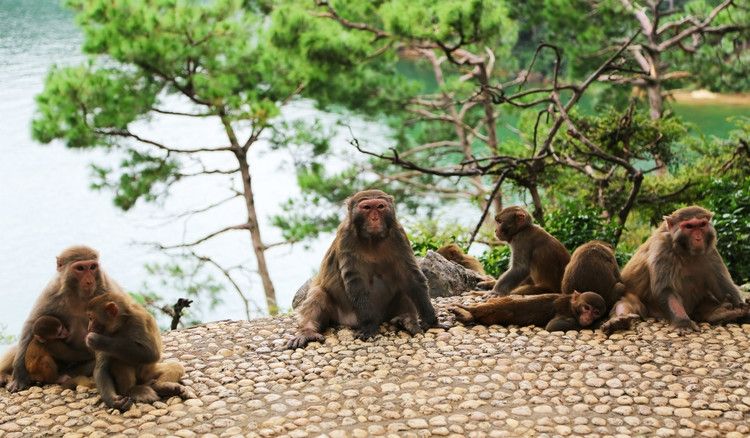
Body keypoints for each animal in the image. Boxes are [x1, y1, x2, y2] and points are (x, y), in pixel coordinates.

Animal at [5, 245, 122, 392]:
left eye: (92, 267)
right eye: (80, 268)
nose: (89, 281)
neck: (79, 295)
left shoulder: (107, 290)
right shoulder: (52, 291)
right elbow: (31, 324)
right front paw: (19, 376)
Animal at [286, 188, 440, 350]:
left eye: (380, 207)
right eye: (366, 207)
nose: (374, 218)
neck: (373, 239)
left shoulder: (399, 234)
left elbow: (410, 276)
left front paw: (430, 319)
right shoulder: (345, 237)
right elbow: (356, 282)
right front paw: (368, 326)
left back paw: (406, 319)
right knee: (318, 294)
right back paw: (307, 331)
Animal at [604, 206, 750, 336]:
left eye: (702, 225)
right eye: (689, 226)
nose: (698, 238)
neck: (687, 252)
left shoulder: (711, 252)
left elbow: (723, 287)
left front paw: (739, 308)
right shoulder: (662, 248)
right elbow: (666, 290)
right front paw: (683, 323)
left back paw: (722, 313)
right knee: (628, 301)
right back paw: (619, 321)